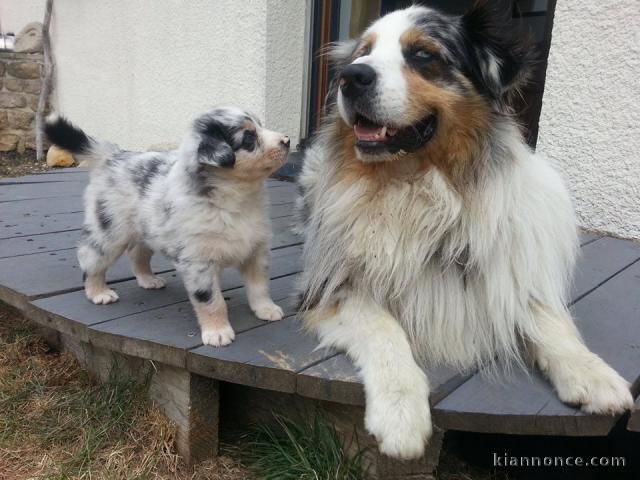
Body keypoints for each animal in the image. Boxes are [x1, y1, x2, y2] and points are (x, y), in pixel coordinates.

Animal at [46, 106, 292, 344]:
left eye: (260, 126)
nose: (288, 140)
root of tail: (114, 155)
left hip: (147, 231)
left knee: (137, 254)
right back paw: (98, 292)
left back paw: (148, 280)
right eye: (249, 137)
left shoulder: (256, 250)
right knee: (90, 258)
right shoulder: (198, 262)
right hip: (109, 231)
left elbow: (259, 286)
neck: (235, 199)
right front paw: (218, 332)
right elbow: (212, 300)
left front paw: (266, 309)